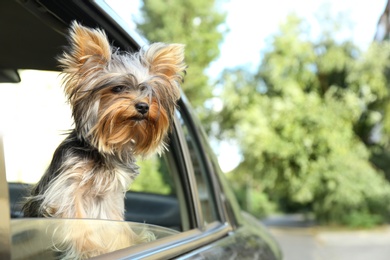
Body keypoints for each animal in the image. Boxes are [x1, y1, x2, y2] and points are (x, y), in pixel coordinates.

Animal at [22, 21, 186, 258]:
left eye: (149, 93)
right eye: (118, 88)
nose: (143, 106)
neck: (103, 152)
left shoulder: (109, 197)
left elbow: (113, 222)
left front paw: (126, 243)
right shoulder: (66, 187)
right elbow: (75, 216)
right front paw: (89, 250)